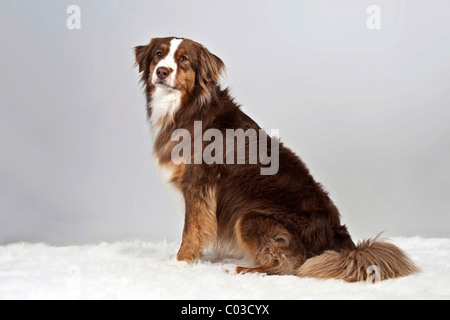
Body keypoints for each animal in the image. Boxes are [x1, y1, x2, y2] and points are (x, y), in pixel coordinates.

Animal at [134, 37, 418, 282]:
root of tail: (340, 242)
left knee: (290, 266)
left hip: (249, 217)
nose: (161, 71)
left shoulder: (199, 183)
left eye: (183, 59)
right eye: (158, 54)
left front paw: (180, 261)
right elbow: (200, 225)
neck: (186, 106)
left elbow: (191, 228)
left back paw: (241, 269)